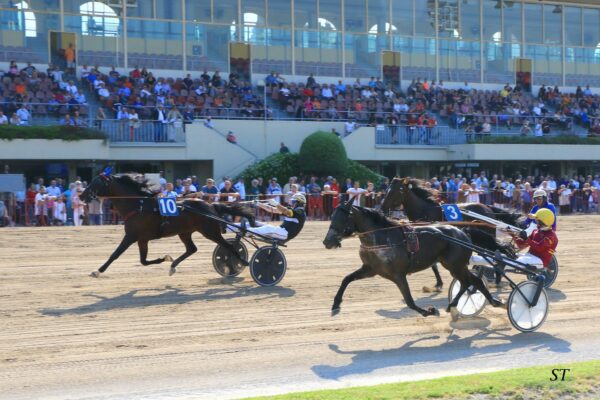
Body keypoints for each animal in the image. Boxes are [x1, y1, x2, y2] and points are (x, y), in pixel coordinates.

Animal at [80, 173, 255, 280]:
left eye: (95, 183)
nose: (81, 195)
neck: (138, 205)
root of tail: (211, 205)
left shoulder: (131, 236)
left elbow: (115, 254)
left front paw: (97, 271)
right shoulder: (142, 239)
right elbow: (143, 261)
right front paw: (165, 258)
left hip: (210, 232)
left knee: (229, 246)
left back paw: (241, 262)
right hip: (185, 232)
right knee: (192, 249)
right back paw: (172, 266)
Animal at [322, 200, 504, 318]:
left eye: (342, 217)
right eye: (332, 216)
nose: (327, 241)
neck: (382, 238)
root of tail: (463, 231)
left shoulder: (398, 275)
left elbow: (409, 301)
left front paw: (429, 311)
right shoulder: (371, 269)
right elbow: (347, 279)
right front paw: (336, 303)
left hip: (455, 265)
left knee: (468, 282)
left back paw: (458, 304)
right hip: (454, 265)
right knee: (472, 281)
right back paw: (489, 301)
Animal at [382, 178, 524, 288]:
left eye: (394, 191)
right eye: (387, 189)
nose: (382, 207)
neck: (425, 210)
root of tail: (488, 208)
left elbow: (434, 264)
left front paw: (439, 283)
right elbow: (433, 264)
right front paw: (439, 282)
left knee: (494, 252)